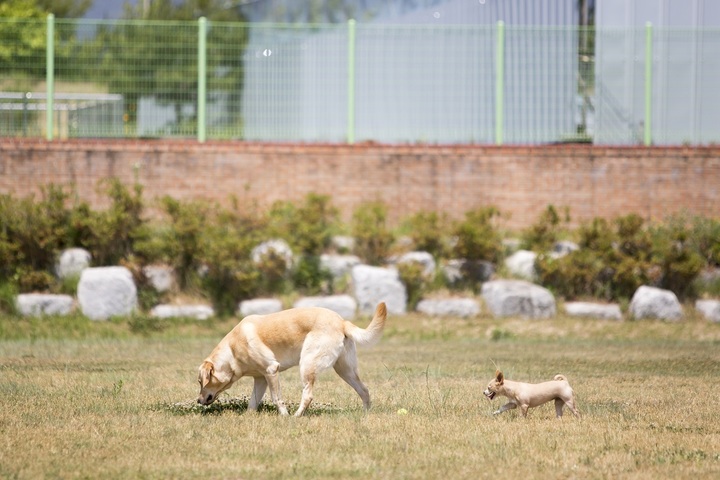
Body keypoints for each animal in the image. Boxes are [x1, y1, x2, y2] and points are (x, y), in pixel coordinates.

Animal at [197, 302, 388, 414]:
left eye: (200, 381)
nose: (198, 401)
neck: (232, 351)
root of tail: (342, 322)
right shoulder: (261, 378)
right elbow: (253, 402)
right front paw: (248, 417)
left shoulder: (271, 370)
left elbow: (276, 398)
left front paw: (284, 416)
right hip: (345, 371)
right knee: (364, 390)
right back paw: (365, 414)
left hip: (307, 364)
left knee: (308, 395)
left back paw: (296, 416)